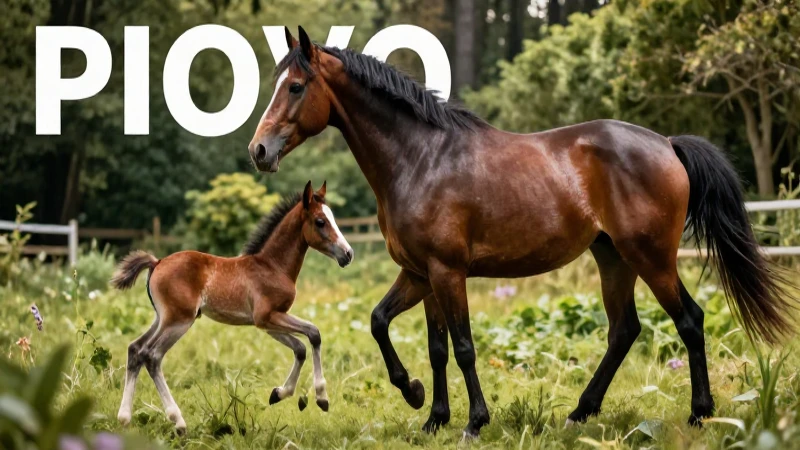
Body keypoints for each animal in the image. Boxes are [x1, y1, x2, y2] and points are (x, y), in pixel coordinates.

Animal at [110, 181, 353, 434]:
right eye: (320, 221)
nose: (348, 254)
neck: (272, 266)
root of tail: (157, 262)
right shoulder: (267, 317)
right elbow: (313, 334)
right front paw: (322, 398)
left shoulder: (268, 322)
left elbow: (300, 348)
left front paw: (278, 393)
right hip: (179, 321)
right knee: (152, 355)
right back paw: (178, 421)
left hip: (162, 318)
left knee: (135, 349)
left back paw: (124, 417)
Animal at [248, 27, 797, 438]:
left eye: (295, 86)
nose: (259, 150)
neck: (420, 159)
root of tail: (665, 143)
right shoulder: (420, 274)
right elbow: (402, 332)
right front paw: (424, 405)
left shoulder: (447, 273)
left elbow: (463, 347)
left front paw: (473, 422)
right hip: (613, 258)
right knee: (624, 330)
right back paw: (580, 412)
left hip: (652, 258)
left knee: (690, 320)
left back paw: (699, 414)